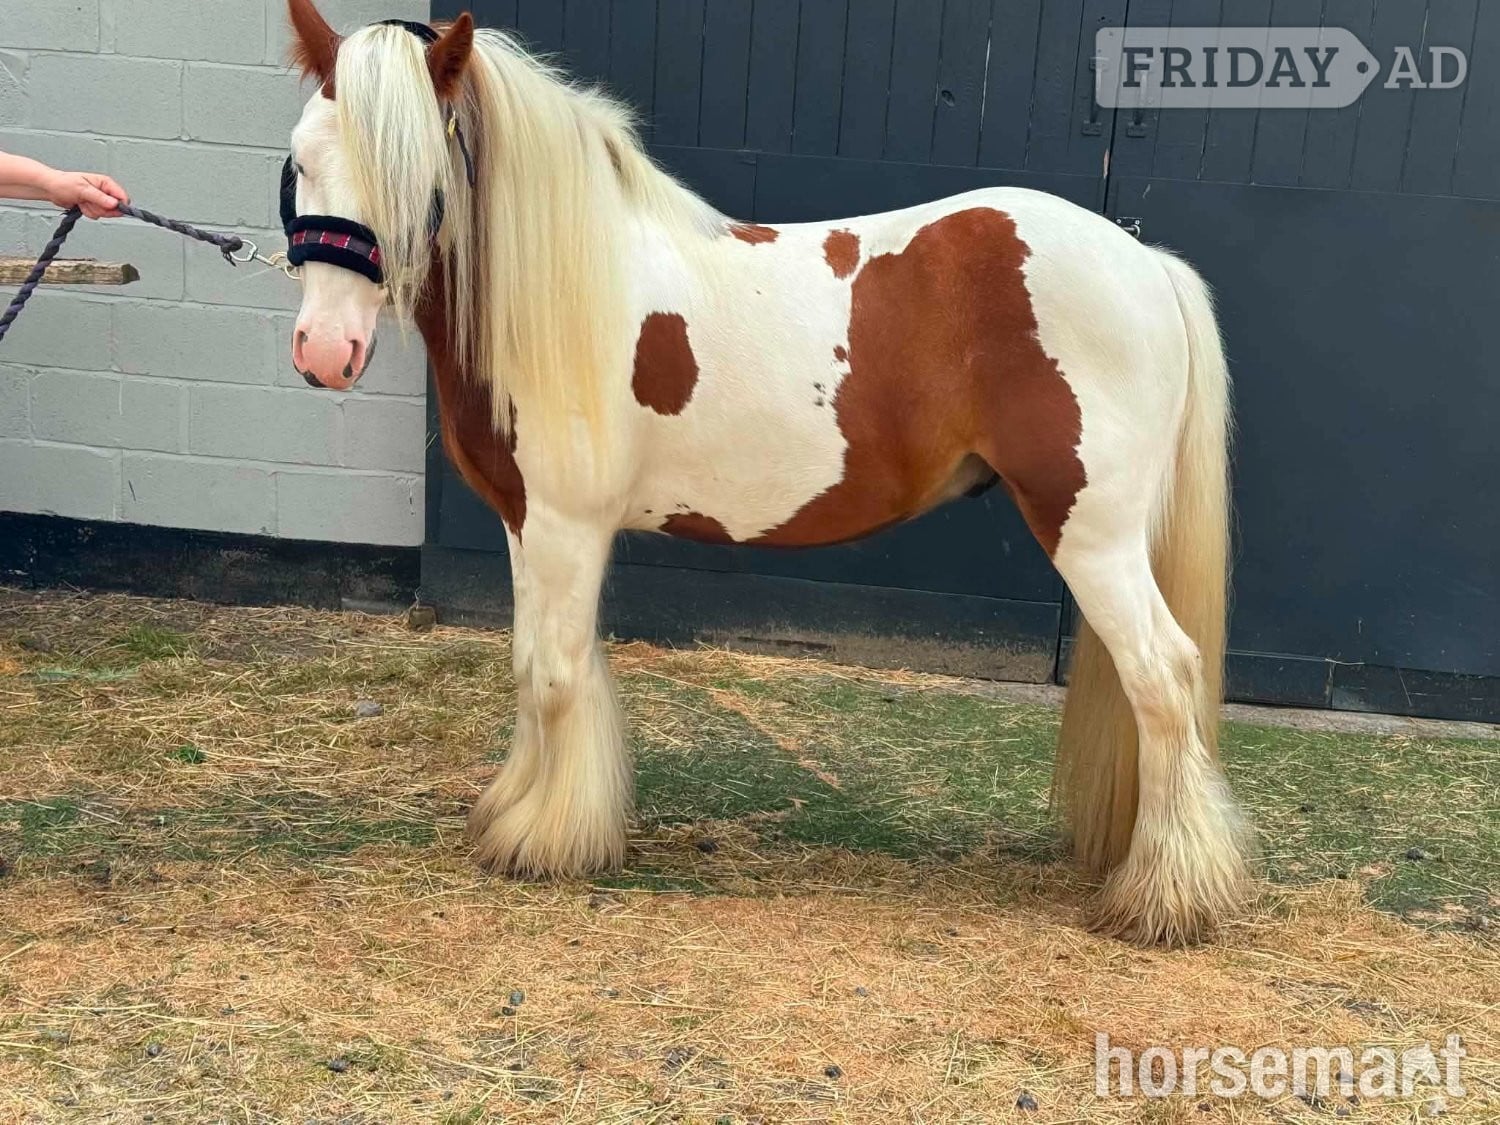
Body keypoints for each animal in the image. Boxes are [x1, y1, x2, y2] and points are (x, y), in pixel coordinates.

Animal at [281, 0, 1254, 945]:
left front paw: (544, 840)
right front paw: (516, 813)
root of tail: (1145, 263)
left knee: (1164, 676)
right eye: (300, 162)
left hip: (1091, 534)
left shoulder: (568, 524)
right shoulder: (528, 523)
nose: (324, 353)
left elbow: (556, 672)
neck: (568, 286)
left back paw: (1164, 898)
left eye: (415, 173)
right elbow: (529, 666)